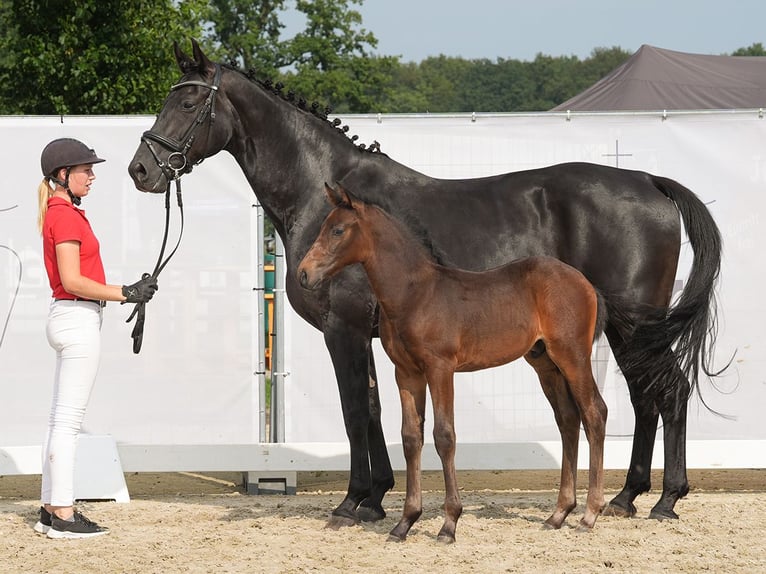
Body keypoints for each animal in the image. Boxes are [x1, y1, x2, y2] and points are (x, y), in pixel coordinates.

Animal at [296, 184, 608, 544]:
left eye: (338, 230)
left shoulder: (440, 369)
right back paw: (558, 514)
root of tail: (585, 283)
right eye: (323, 226)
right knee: (568, 419)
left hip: (572, 354)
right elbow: (411, 438)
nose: (304, 273)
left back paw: (589, 514)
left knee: (594, 413)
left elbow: (444, 435)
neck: (414, 294)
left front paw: (449, 524)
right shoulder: (406, 373)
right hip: (545, 362)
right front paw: (405, 523)